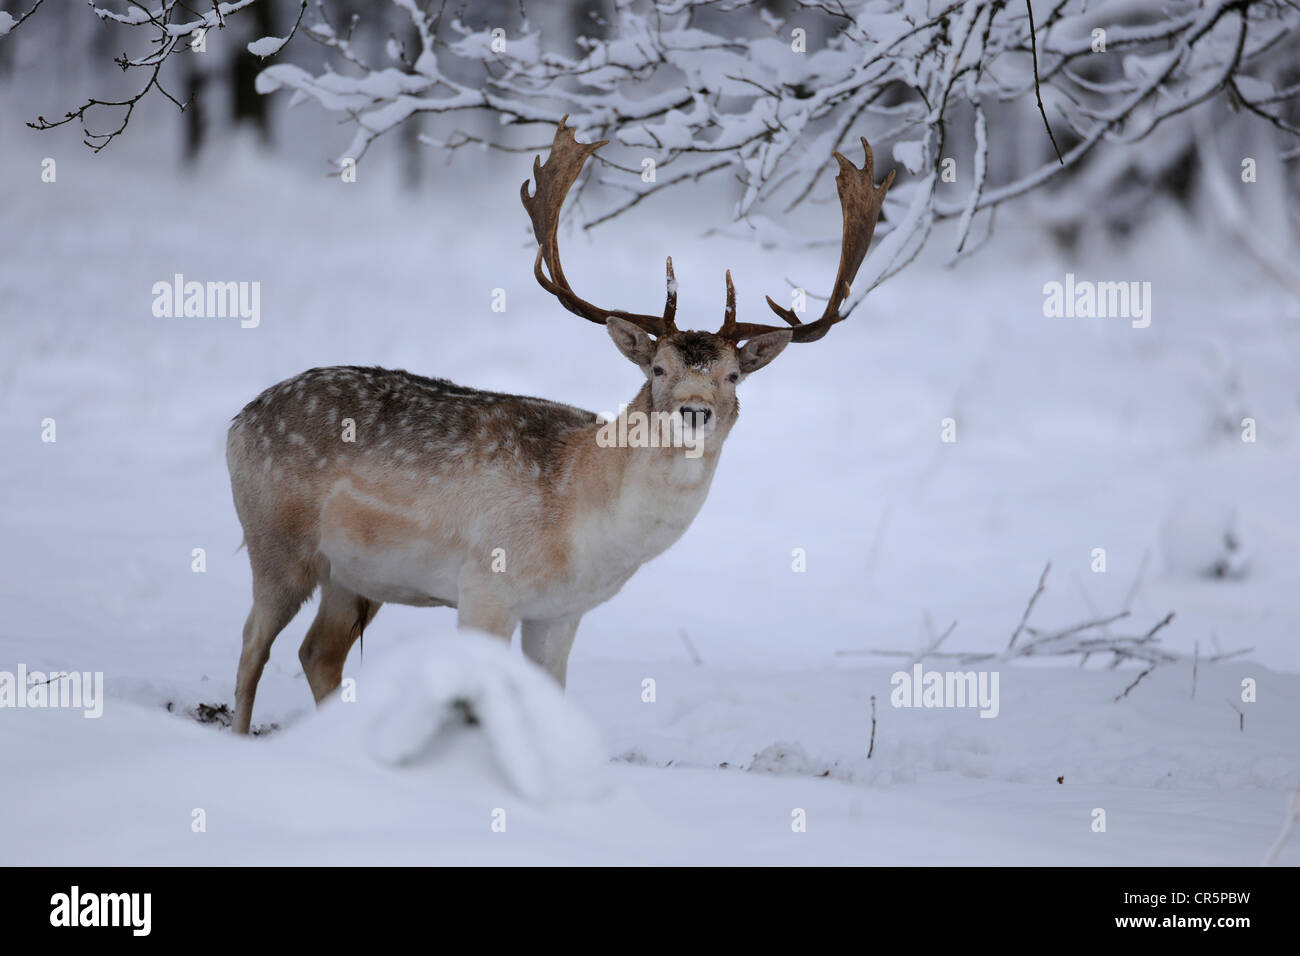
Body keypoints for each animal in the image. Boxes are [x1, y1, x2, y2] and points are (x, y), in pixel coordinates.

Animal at [226, 117, 894, 733]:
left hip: (352, 575)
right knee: (253, 646)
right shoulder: (485, 585)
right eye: (657, 368)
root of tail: (238, 421)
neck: (580, 517)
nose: (694, 409)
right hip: (277, 540)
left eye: (734, 376)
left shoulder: (561, 613)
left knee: (318, 652)